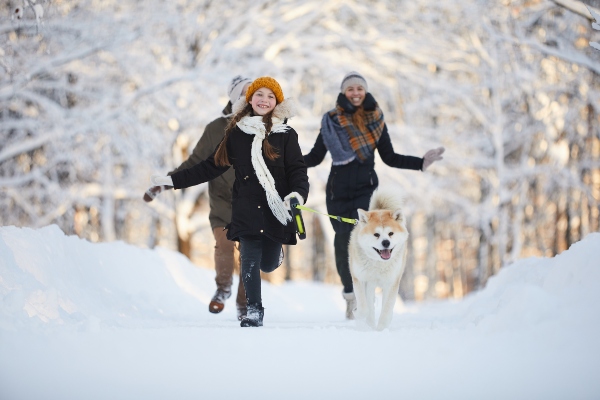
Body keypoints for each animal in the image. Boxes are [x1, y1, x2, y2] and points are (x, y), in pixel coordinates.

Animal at [350, 189, 410, 330]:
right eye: (376, 234)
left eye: (391, 233)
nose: (386, 242)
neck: (379, 264)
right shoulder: (360, 279)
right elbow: (364, 307)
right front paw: (358, 314)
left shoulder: (391, 283)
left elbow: (387, 309)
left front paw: (381, 329)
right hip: (369, 285)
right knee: (369, 306)